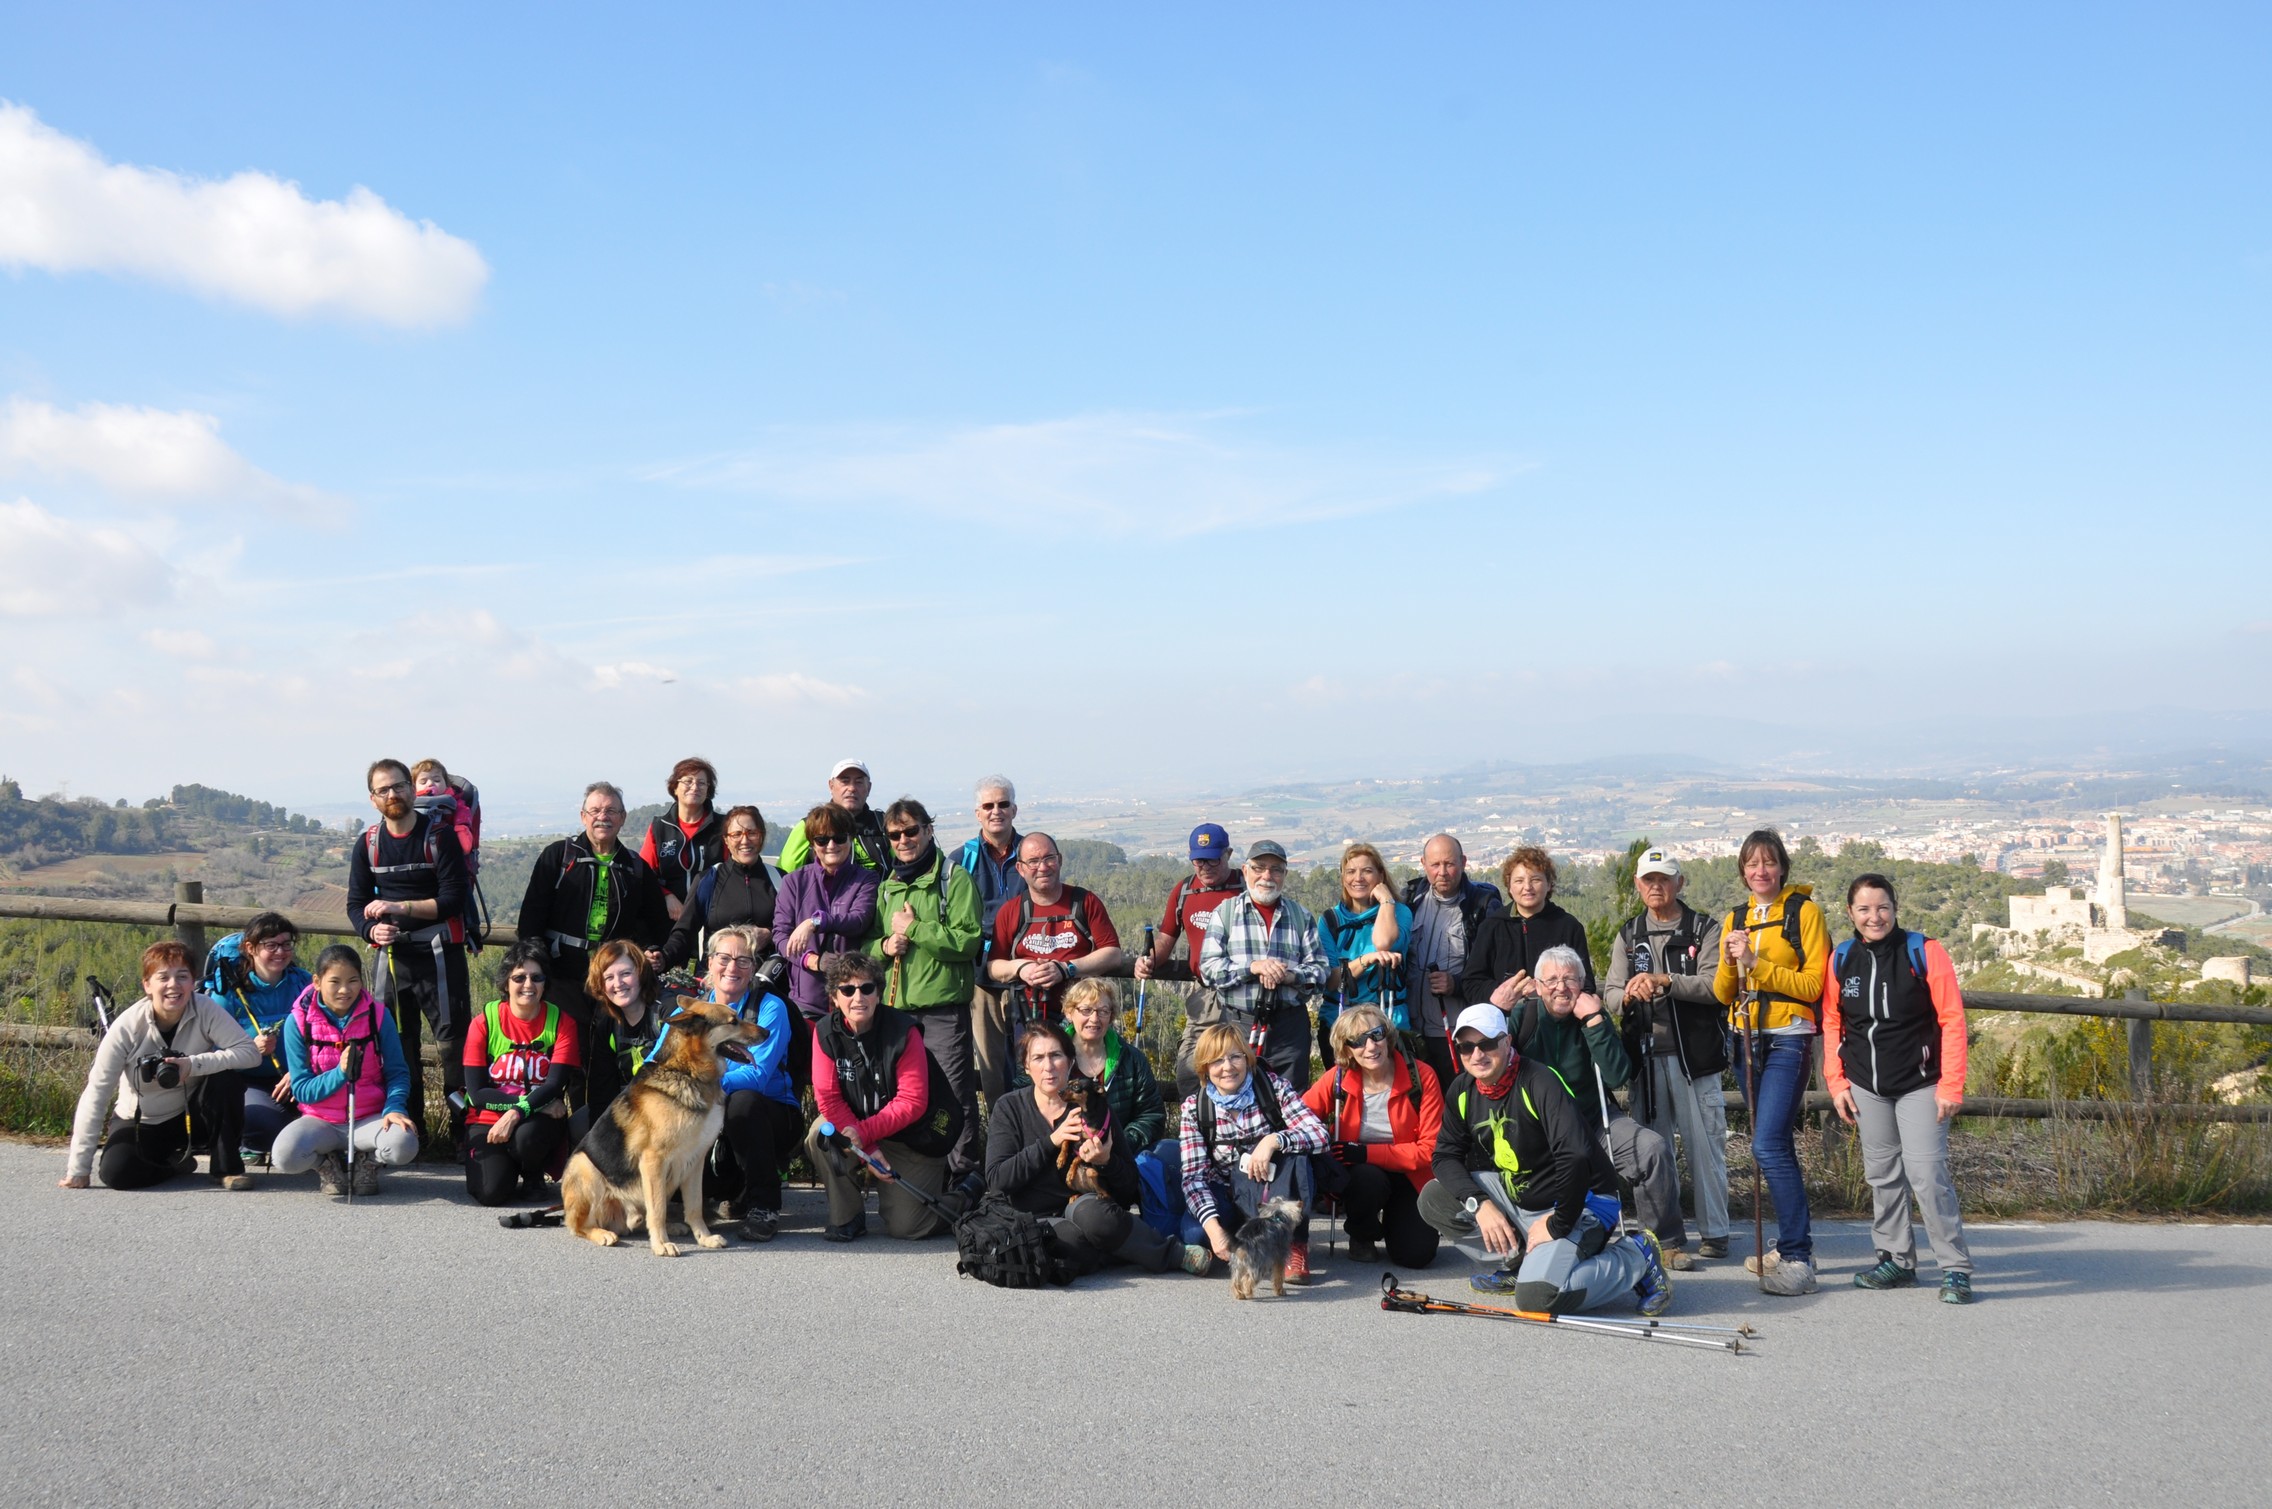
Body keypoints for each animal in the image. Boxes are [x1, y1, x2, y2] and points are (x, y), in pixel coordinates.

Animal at [561, 996, 762, 1257]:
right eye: (733, 1021)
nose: (768, 1032)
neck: (688, 1073)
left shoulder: (695, 1161)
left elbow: (694, 1207)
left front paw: (704, 1238)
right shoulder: (653, 1161)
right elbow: (657, 1210)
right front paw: (660, 1244)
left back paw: (671, 1226)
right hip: (584, 1166)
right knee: (577, 1225)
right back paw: (603, 1233)